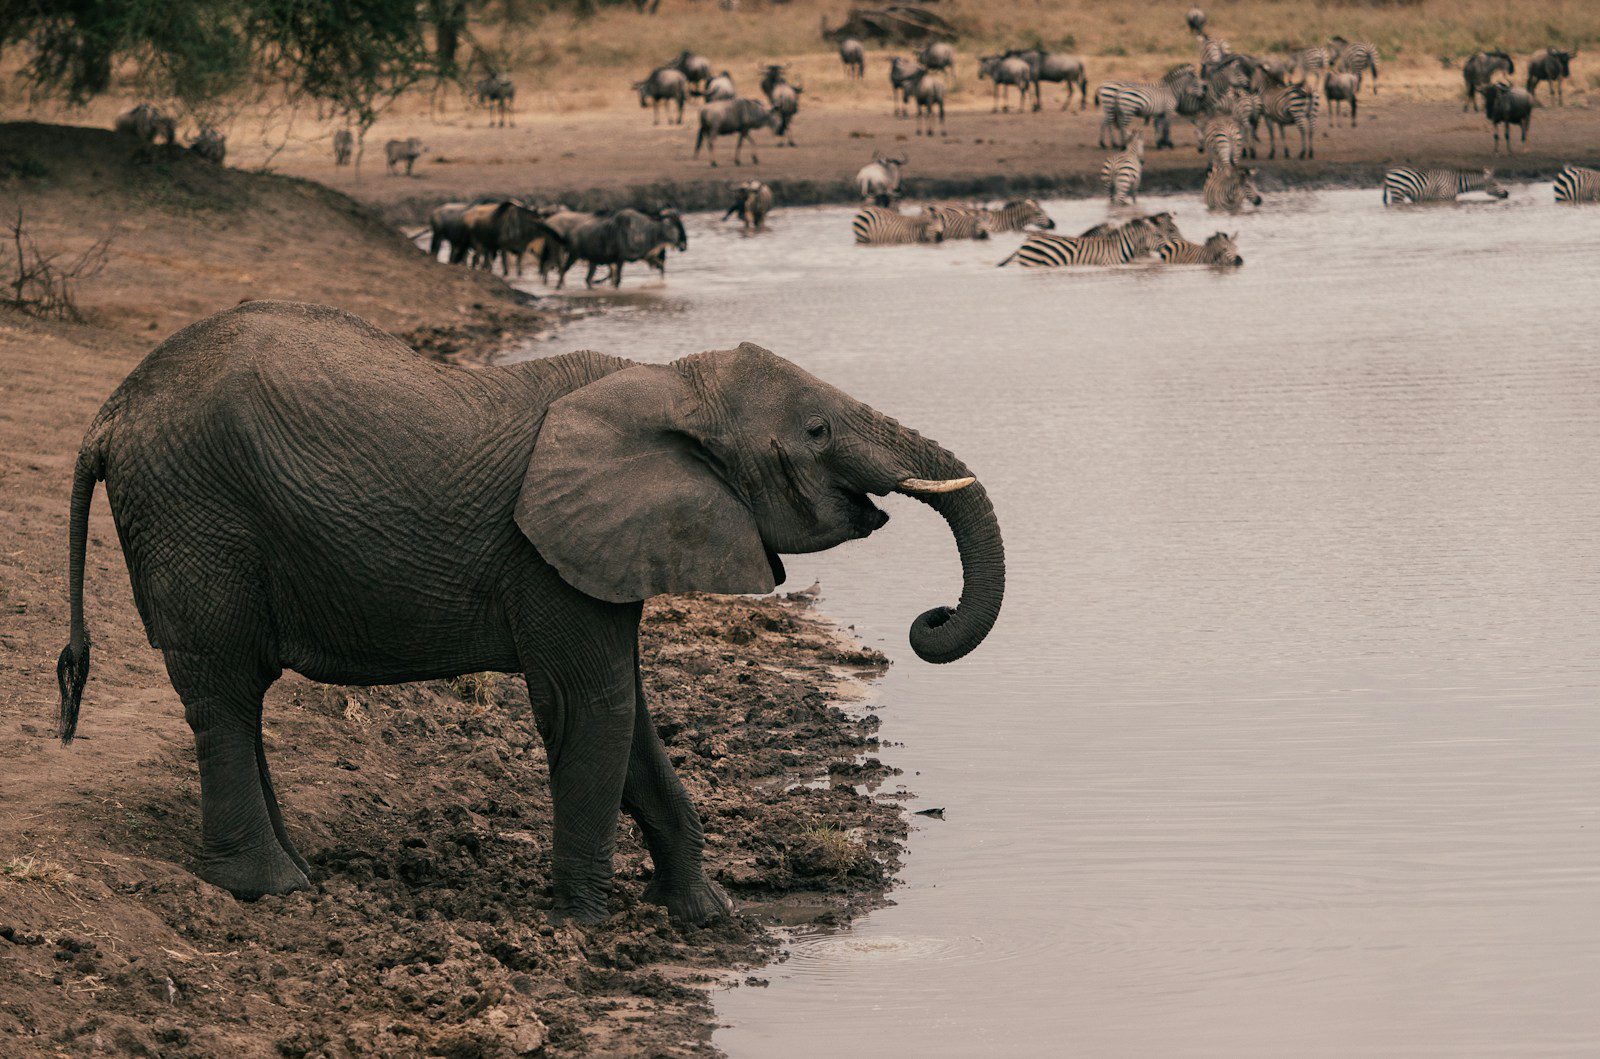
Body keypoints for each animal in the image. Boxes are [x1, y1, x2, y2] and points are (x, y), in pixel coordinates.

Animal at [56, 300, 998, 927]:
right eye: (815, 430)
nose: (928, 618)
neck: (669, 381)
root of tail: (109, 413)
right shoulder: (547, 555)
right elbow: (594, 708)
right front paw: (588, 924)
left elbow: (632, 713)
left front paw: (706, 913)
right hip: (195, 513)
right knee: (223, 690)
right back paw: (269, 888)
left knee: (236, 696)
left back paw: (298, 873)